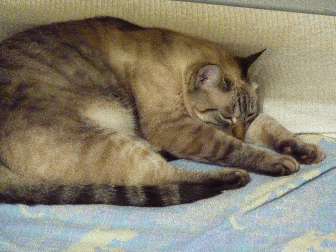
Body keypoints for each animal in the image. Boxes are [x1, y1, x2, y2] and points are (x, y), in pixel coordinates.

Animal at [0, 17, 326, 207]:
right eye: (225, 116)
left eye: (245, 117)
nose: (240, 133)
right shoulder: (178, 128)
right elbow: (236, 149)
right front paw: (281, 161)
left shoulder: (247, 124)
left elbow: (274, 129)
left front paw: (306, 151)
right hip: (114, 142)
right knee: (164, 178)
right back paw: (233, 178)